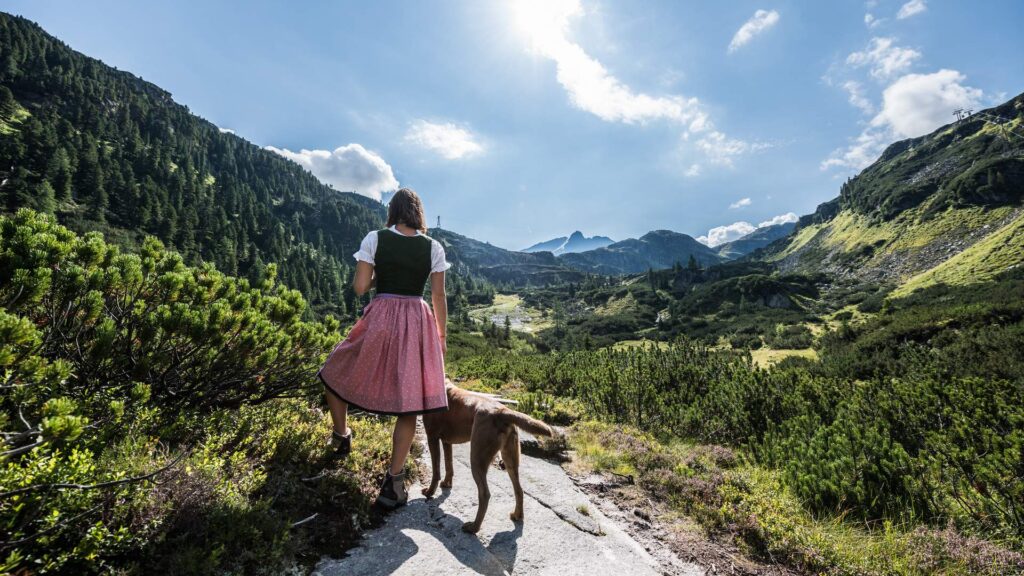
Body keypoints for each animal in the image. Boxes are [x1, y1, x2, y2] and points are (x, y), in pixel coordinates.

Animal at [421, 379, 557, 532]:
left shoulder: (432, 437)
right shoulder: (446, 441)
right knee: (519, 490)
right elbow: (449, 465)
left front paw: (430, 492)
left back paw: (473, 527)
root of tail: (503, 412)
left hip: (476, 458)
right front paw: (446, 484)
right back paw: (517, 515)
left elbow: (436, 470)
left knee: (485, 494)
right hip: (510, 458)